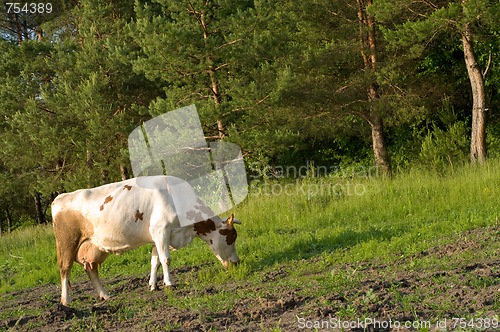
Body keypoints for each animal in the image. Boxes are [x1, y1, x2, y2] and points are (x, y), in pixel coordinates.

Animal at [52, 176, 240, 306]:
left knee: (91, 269)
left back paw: (105, 295)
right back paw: (66, 301)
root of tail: (60, 198)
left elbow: (155, 261)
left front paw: (153, 285)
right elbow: (166, 259)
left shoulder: (157, 236)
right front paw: (169, 283)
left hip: (93, 247)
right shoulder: (161, 229)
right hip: (67, 242)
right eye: (231, 238)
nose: (237, 263)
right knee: (64, 268)